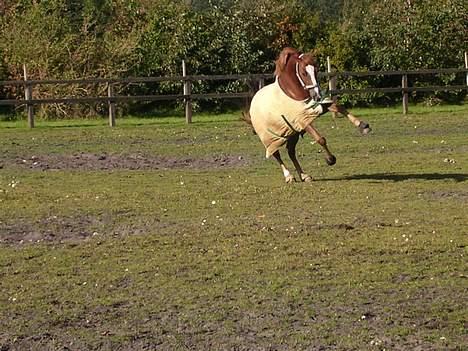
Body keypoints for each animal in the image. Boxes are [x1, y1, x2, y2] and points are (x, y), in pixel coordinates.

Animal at [245, 47, 372, 183]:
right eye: (304, 73)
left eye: (316, 70)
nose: (317, 95)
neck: (293, 93)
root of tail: (253, 102)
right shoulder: (302, 120)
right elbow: (320, 139)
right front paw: (330, 159)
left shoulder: (317, 107)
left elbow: (338, 107)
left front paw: (363, 126)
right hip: (270, 139)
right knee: (276, 154)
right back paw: (289, 176)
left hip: (293, 134)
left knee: (291, 152)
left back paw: (304, 175)